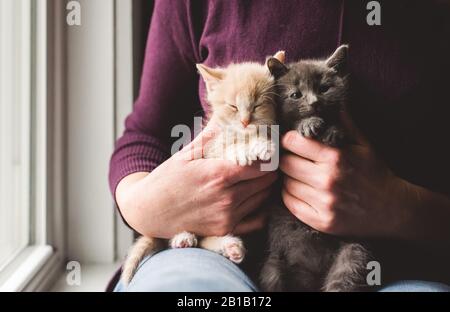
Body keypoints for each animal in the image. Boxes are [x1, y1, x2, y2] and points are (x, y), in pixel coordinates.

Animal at [121, 51, 284, 286]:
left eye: (257, 105)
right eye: (233, 106)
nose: (245, 121)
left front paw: (261, 144)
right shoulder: (211, 149)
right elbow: (226, 149)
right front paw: (242, 151)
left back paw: (229, 246)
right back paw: (184, 238)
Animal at [260, 45, 372, 292]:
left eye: (324, 88)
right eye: (295, 94)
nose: (314, 103)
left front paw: (333, 131)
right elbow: (289, 127)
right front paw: (308, 123)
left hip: (353, 251)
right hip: (273, 264)